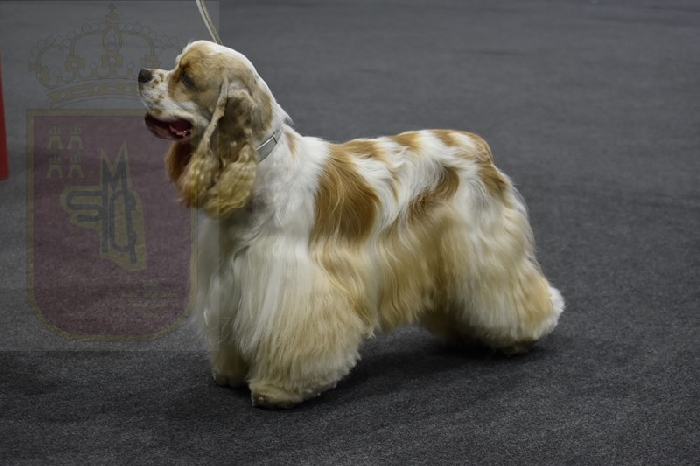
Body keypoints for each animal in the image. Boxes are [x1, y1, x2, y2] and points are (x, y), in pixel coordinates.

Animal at [138, 40, 564, 409]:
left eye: (187, 78)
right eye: (176, 66)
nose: (142, 73)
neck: (260, 169)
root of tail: (475, 143)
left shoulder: (293, 283)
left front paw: (278, 390)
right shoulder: (230, 277)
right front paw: (230, 373)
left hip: (485, 243)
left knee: (514, 289)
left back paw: (523, 334)